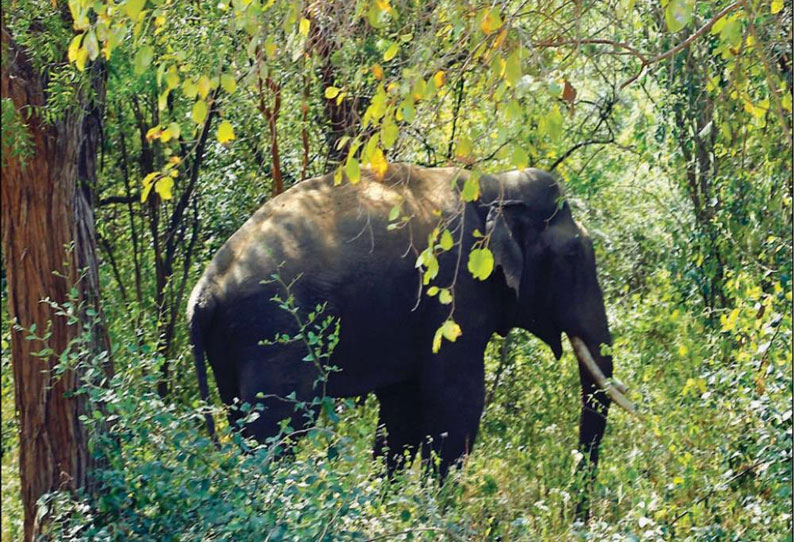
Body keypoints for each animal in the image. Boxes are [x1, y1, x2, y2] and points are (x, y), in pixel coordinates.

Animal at [187, 164, 632, 520]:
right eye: (572, 255)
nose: (577, 518)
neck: (492, 183)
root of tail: (204, 292)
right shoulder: (455, 293)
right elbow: (457, 402)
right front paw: (439, 517)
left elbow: (400, 415)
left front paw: (387, 510)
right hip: (274, 335)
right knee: (273, 431)